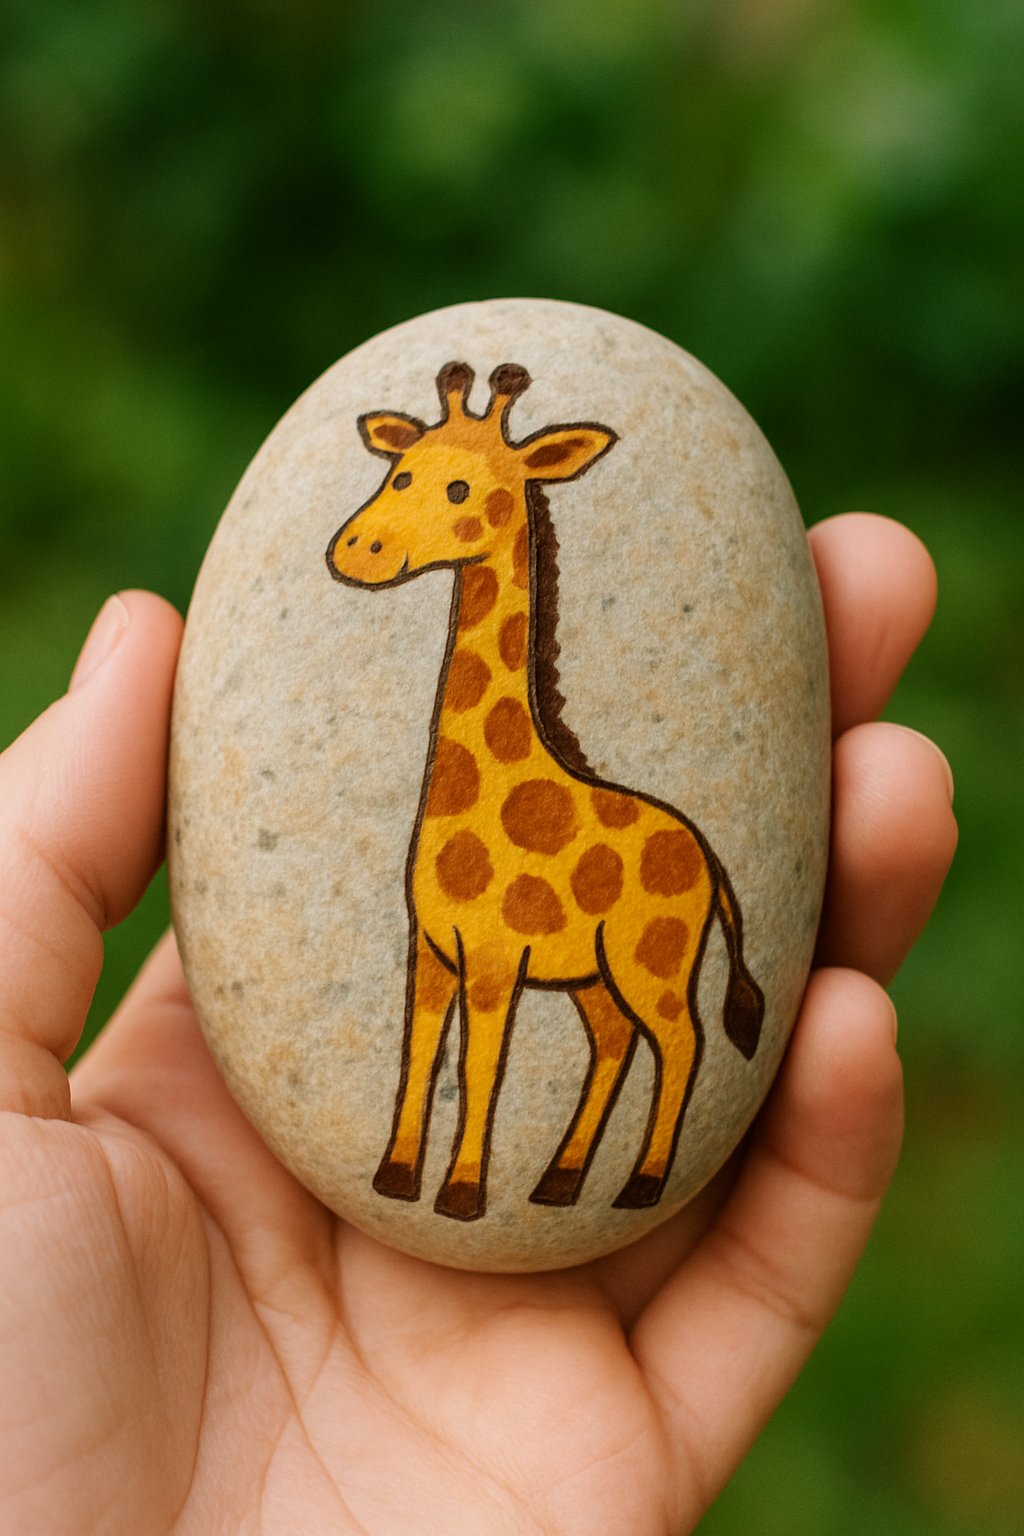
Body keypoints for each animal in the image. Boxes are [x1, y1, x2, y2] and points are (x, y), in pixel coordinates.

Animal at [327, 361, 764, 1222]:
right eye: (400, 472)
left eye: (462, 488)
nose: (358, 550)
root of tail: (708, 861)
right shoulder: (431, 950)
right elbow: (421, 1056)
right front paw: (397, 1178)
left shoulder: (496, 959)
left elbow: (481, 1067)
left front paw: (462, 1194)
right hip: (595, 976)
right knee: (614, 1041)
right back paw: (559, 1181)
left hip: (652, 961)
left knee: (681, 1042)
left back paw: (639, 1184)